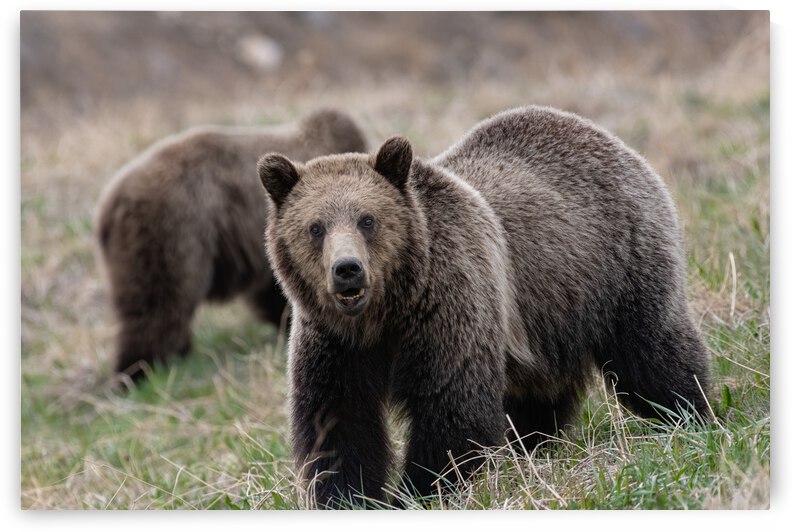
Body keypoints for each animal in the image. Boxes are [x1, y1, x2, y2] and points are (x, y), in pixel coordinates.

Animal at [256, 105, 712, 508]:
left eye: (368, 219)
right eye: (316, 227)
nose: (347, 269)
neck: (384, 314)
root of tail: (602, 134)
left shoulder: (448, 305)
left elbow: (453, 410)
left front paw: (418, 493)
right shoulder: (334, 342)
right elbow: (338, 421)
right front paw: (348, 498)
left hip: (618, 266)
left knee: (651, 352)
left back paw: (690, 415)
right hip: (548, 316)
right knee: (539, 394)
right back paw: (533, 447)